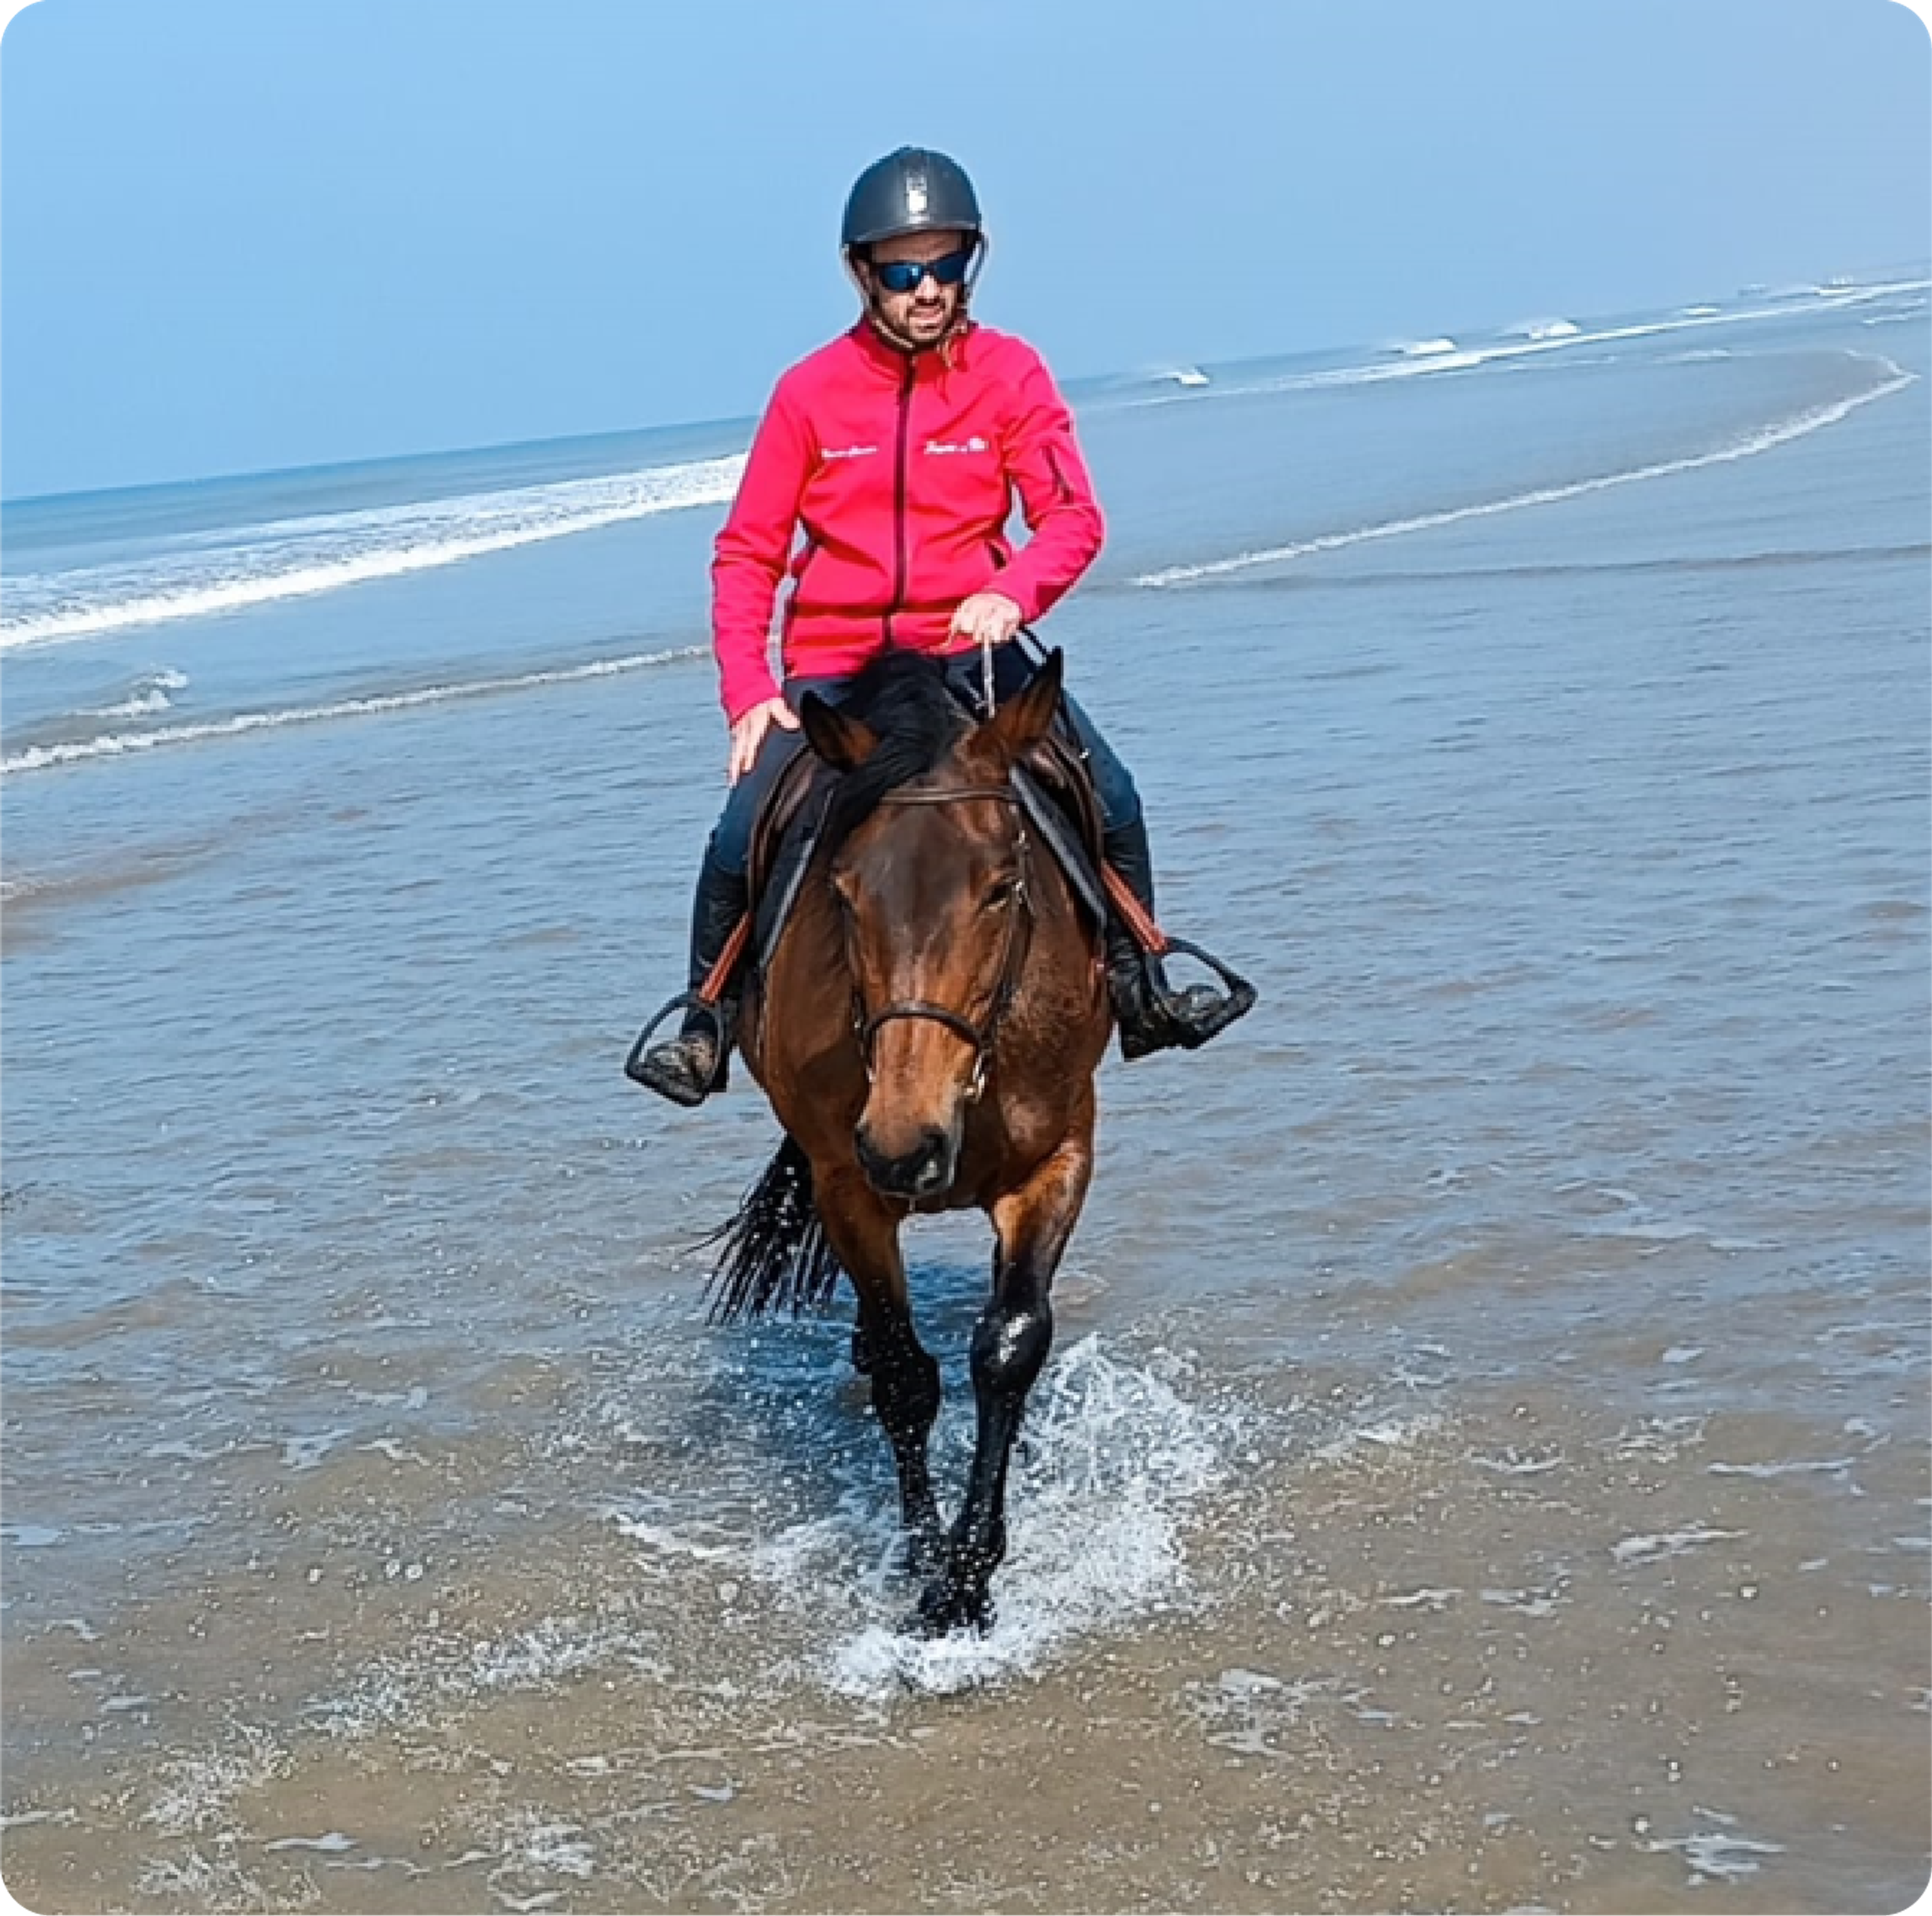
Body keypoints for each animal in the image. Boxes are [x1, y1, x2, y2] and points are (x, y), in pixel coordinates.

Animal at [709, 646, 1111, 1635]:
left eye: (1004, 885)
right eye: (845, 890)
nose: (905, 1142)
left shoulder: (1059, 1161)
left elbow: (1008, 1345)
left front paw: (970, 1574)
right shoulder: (848, 1184)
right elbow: (903, 1373)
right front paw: (929, 1562)